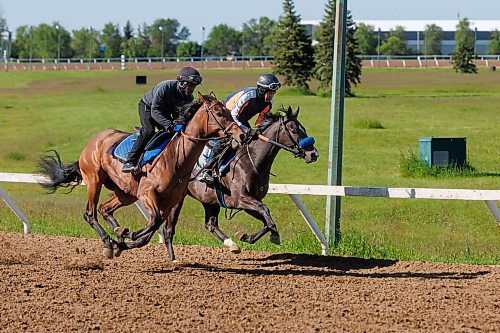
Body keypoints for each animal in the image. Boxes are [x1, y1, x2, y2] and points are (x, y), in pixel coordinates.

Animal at [38, 92, 245, 258]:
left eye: (228, 112)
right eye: (219, 113)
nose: (242, 135)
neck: (176, 158)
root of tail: (94, 141)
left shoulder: (169, 201)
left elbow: (154, 225)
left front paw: (124, 240)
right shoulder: (147, 194)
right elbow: (153, 221)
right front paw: (125, 238)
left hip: (126, 193)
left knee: (105, 209)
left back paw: (118, 232)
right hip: (94, 180)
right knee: (90, 213)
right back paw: (108, 242)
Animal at [159, 105, 320, 260]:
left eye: (303, 129)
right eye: (293, 130)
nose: (313, 154)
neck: (252, 160)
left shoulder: (249, 202)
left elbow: (266, 219)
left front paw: (247, 236)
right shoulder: (241, 199)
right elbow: (266, 212)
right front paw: (270, 235)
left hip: (209, 199)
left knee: (210, 224)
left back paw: (231, 244)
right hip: (177, 199)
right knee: (169, 229)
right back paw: (173, 258)